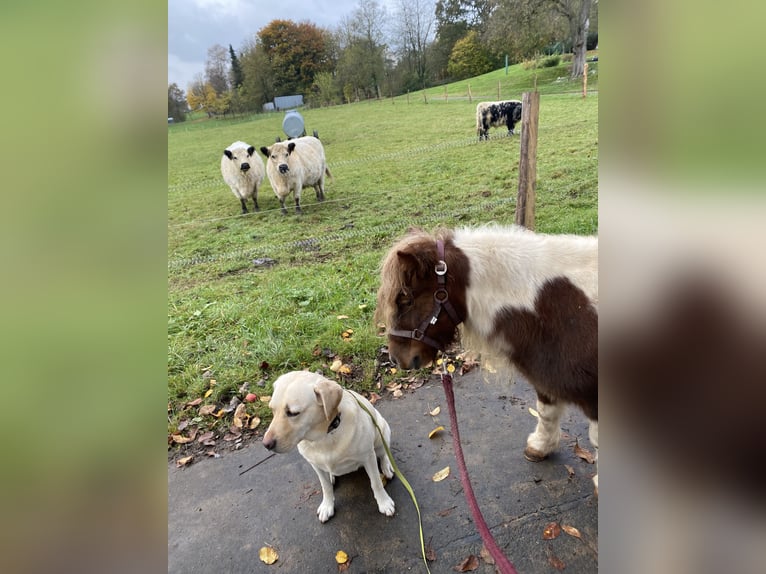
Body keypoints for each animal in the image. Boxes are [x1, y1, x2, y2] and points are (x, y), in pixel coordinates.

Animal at [264, 372, 396, 524]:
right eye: (272, 410)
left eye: (293, 413)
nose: (266, 444)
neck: (326, 435)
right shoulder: (315, 465)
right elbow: (326, 487)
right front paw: (327, 506)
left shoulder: (368, 457)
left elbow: (376, 483)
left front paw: (384, 502)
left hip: (381, 434)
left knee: (383, 454)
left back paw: (386, 467)